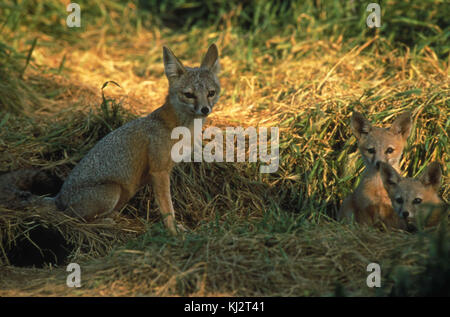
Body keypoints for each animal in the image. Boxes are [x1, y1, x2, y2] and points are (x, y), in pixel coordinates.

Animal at [0, 43, 221, 235]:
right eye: (189, 94)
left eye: (211, 93)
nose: (205, 109)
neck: (179, 127)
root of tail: (59, 198)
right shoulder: (159, 172)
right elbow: (167, 208)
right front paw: (173, 232)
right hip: (112, 191)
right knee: (77, 220)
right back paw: (105, 223)